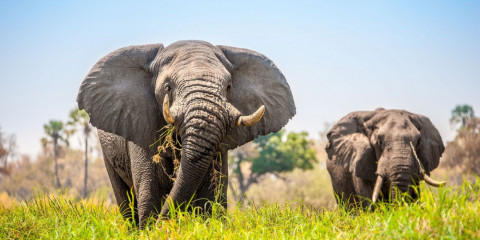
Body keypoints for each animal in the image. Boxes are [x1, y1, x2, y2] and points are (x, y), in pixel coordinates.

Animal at [76, 40, 294, 226]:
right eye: (167, 87)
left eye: (229, 87)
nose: (163, 224)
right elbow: (150, 194)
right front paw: (152, 229)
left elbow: (212, 197)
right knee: (126, 201)